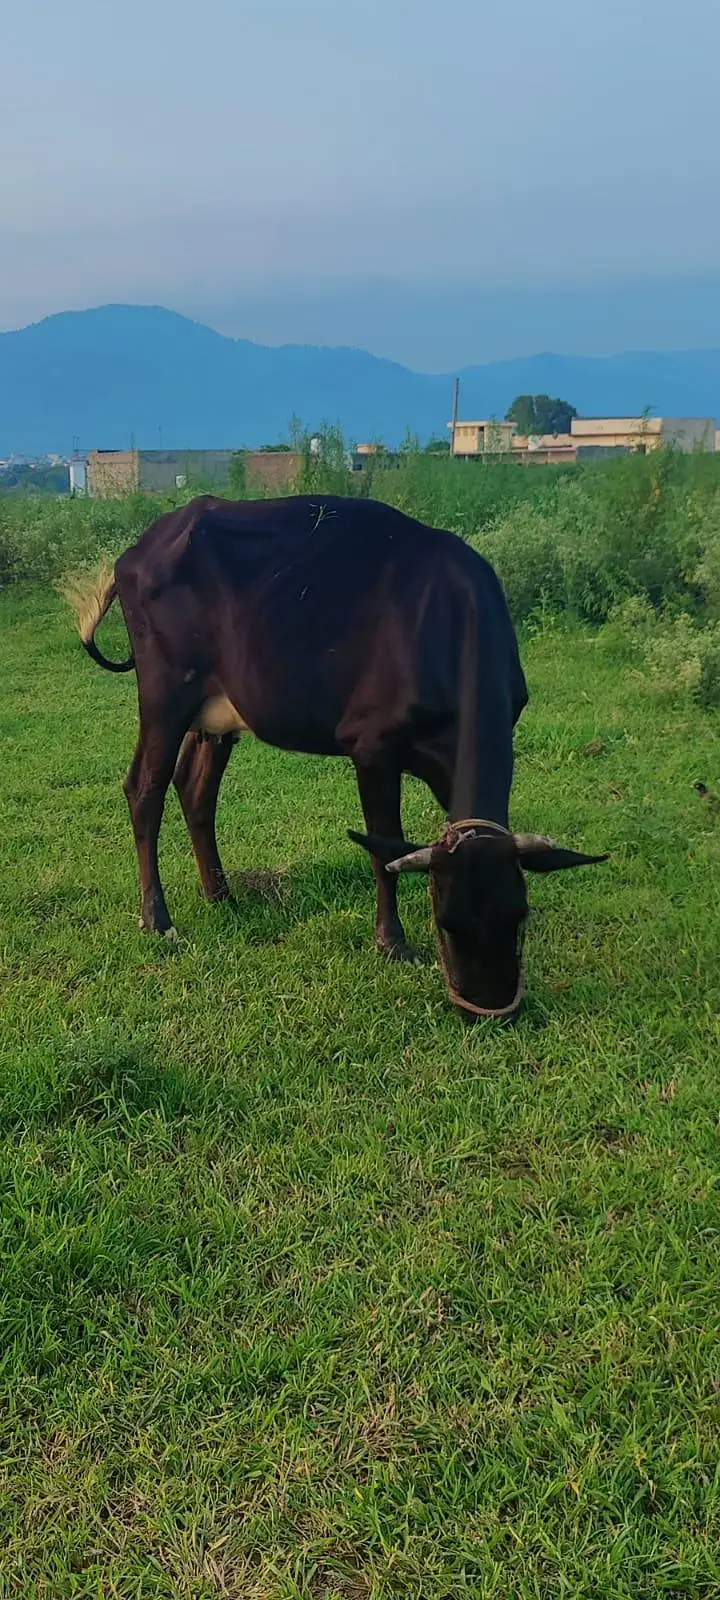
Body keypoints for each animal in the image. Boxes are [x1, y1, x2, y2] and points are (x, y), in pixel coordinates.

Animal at [67, 494, 606, 1021]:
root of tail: (141, 547)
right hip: (165, 693)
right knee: (145, 788)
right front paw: (393, 944)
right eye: (445, 920)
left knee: (194, 789)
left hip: (217, 711)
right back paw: (158, 919)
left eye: (519, 915)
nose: (489, 1011)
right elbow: (385, 850)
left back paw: (222, 897)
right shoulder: (372, 746)